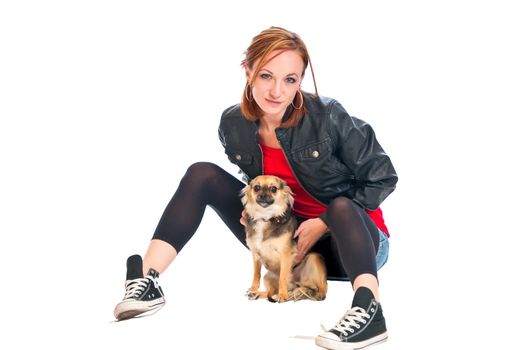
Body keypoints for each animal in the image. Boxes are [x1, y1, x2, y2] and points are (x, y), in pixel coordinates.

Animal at [241, 175, 328, 304]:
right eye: (256, 188)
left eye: (273, 188)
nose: (263, 195)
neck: (265, 217)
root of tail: (296, 285)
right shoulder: (256, 254)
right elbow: (256, 274)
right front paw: (253, 288)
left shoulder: (286, 254)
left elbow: (282, 277)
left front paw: (282, 296)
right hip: (268, 277)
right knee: (271, 292)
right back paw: (257, 294)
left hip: (314, 258)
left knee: (323, 289)